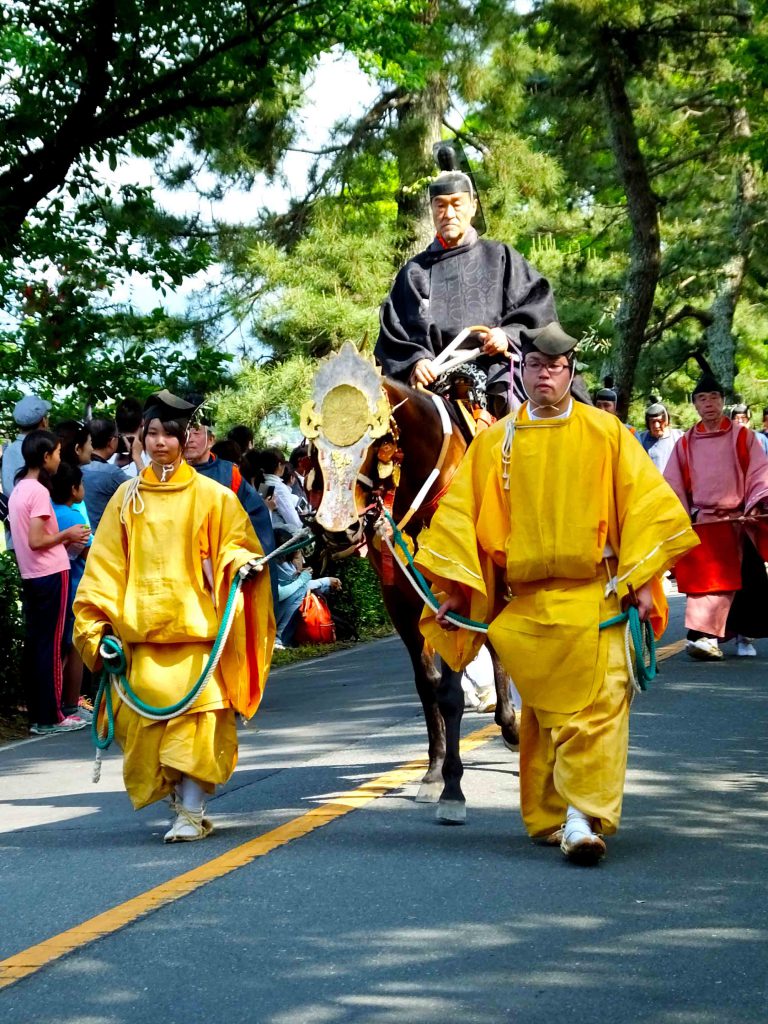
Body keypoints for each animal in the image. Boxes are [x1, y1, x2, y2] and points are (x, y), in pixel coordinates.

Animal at [296, 344, 520, 823]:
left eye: (377, 440)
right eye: (313, 445)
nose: (337, 530)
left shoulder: (458, 591)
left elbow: (451, 689)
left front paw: (453, 787)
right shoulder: (401, 598)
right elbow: (428, 684)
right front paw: (434, 772)